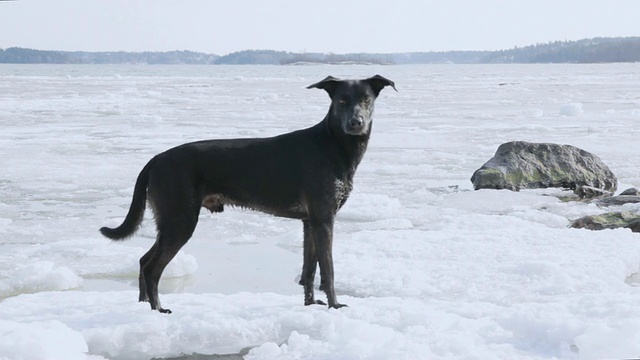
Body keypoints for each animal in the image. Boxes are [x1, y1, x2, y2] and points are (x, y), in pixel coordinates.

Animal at [100, 74, 396, 312]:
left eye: (366, 99)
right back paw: (158, 309)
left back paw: (142, 306)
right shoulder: (324, 219)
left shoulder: (310, 221)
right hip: (180, 221)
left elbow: (309, 270)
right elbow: (329, 269)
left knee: (143, 261)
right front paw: (334, 305)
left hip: (170, 222)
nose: (356, 123)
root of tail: (155, 160)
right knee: (152, 268)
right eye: (342, 101)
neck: (332, 144)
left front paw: (311, 304)